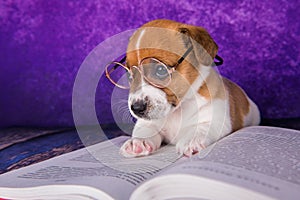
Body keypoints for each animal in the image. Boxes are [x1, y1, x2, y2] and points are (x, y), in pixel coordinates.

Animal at [106, 19, 258, 156]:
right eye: (129, 74)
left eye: (160, 70)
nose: (136, 108)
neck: (177, 111)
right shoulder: (147, 123)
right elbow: (144, 130)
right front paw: (137, 141)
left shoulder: (214, 120)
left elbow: (200, 128)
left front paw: (191, 140)